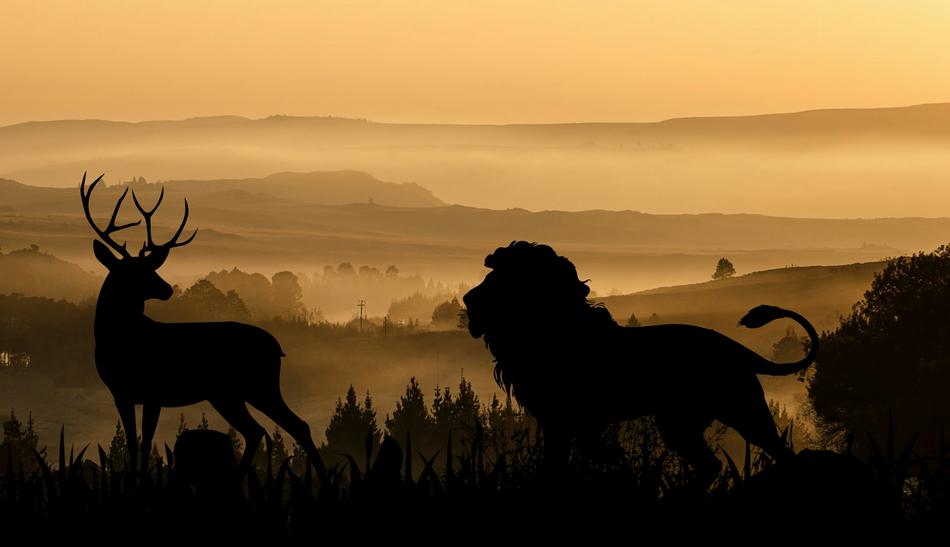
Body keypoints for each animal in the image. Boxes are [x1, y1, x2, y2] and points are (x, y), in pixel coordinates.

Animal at [80, 173, 327, 482]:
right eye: (135, 271)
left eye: (152, 267)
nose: (167, 288)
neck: (120, 338)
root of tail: (276, 348)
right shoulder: (121, 394)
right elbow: (134, 443)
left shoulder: (154, 390)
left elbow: (146, 441)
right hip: (228, 394)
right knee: (257, 430)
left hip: (258, 386)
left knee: (295, 425)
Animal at [463, 241, 818, 484]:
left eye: (507, 277)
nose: (468, 299)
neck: (559, 329)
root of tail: (736, 349)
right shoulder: (566, 423)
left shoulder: (566, 420)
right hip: (691, 420)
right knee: (718, 463)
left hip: (729, 412)